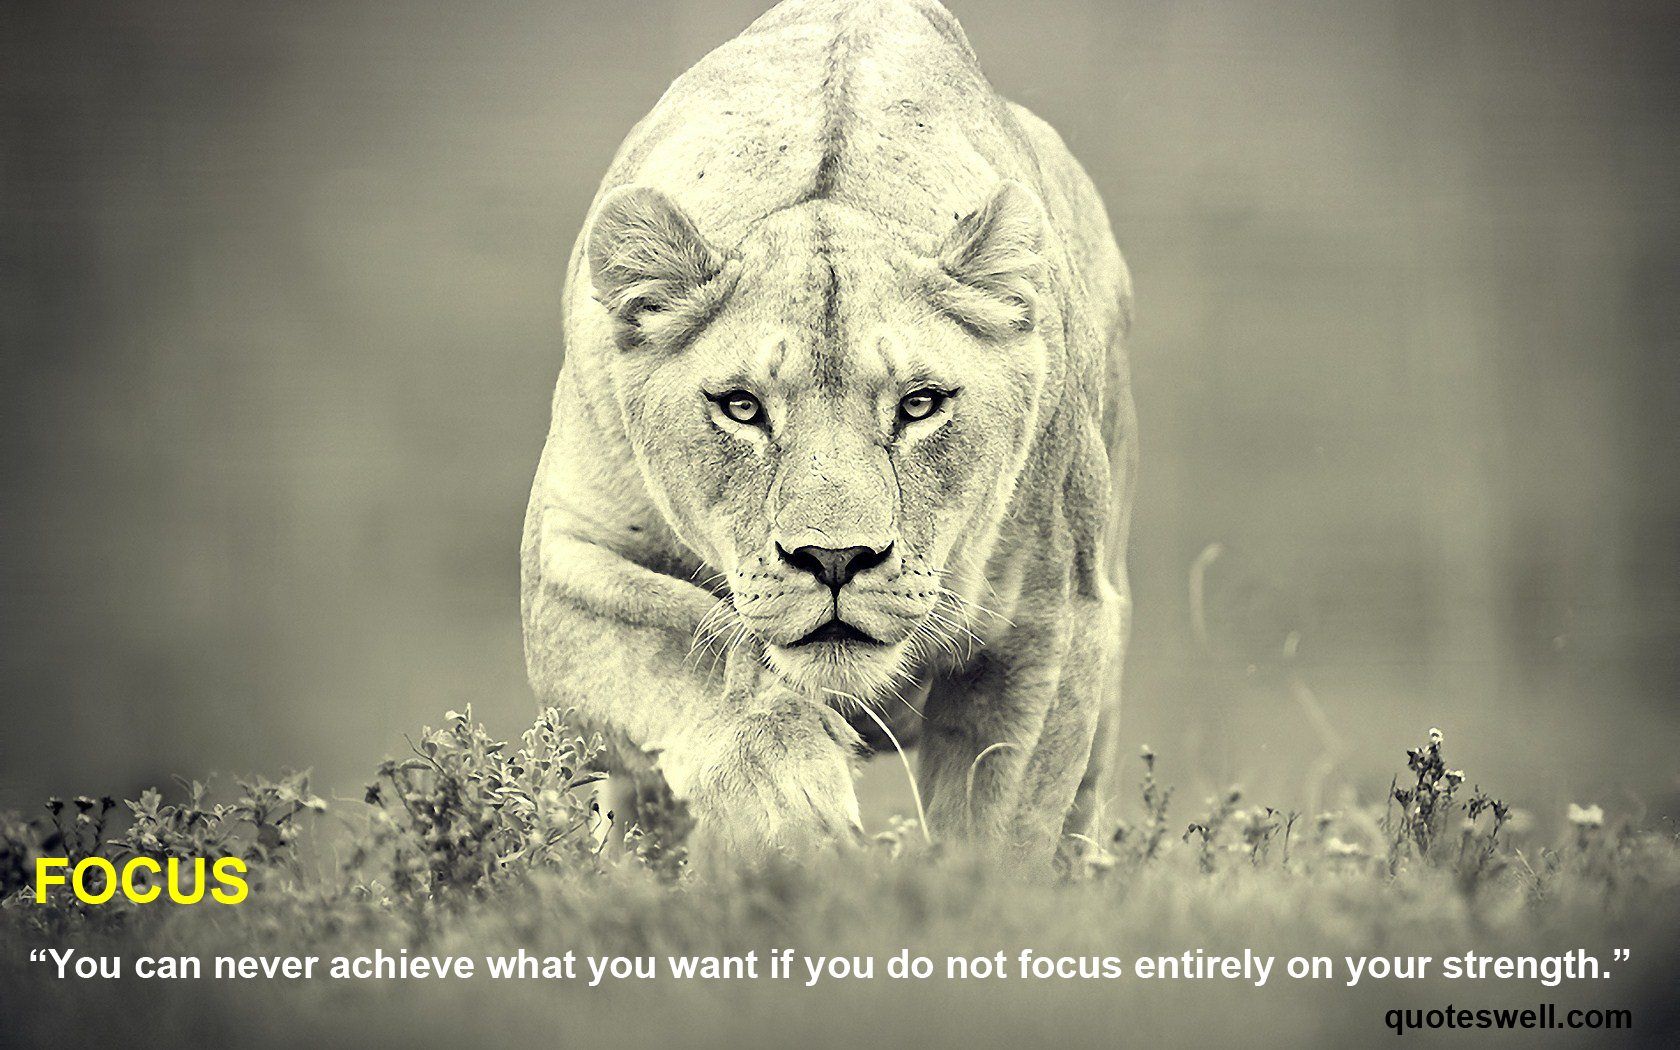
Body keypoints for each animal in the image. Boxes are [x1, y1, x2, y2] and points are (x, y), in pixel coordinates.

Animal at [521, 0, 1135, 867]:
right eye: (742, 407)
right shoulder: (564, 566)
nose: (835, 559)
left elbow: (1000, 830)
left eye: (919, 405)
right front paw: (792, 806)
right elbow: (699, 647)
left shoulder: (1054, 620)